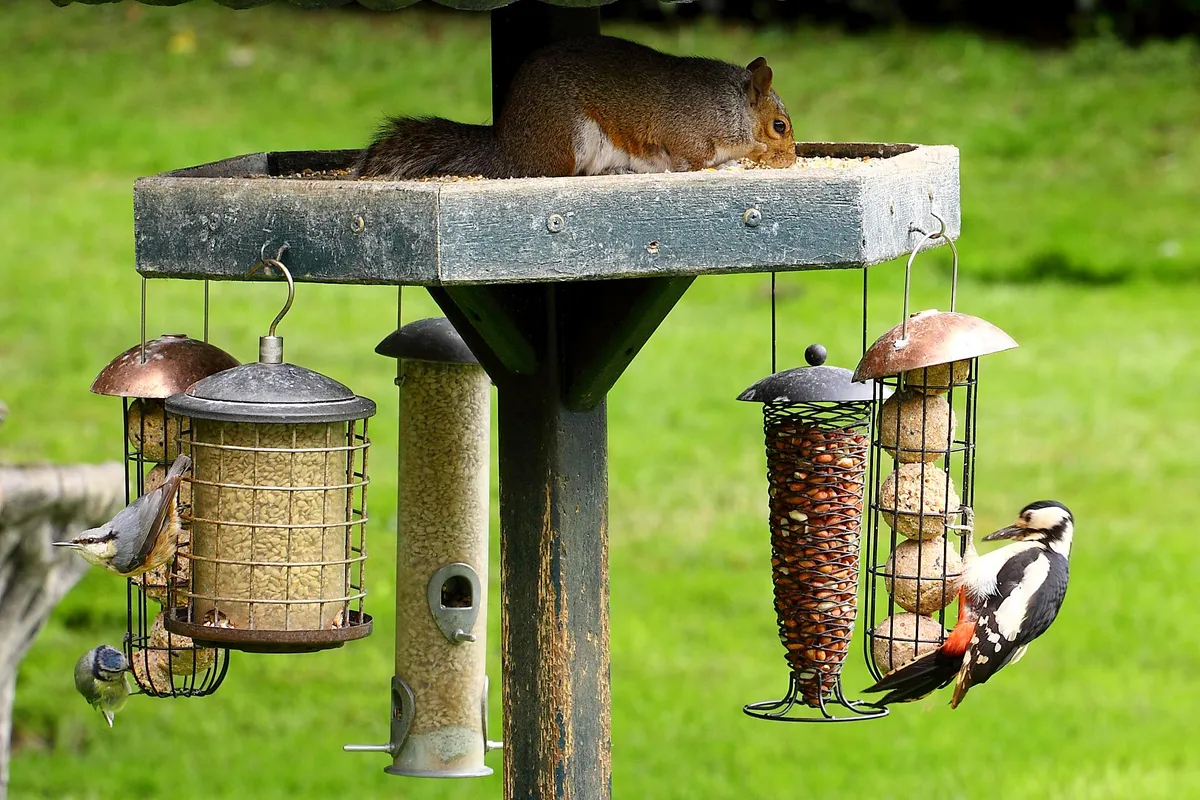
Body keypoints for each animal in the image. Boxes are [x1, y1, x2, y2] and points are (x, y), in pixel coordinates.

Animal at [355, 35, 795, 180]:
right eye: (780, 126)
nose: (791, 159)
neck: (728, 107)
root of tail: (509, 151)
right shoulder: (687, 135)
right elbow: (696, 161)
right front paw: (743, 158)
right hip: (570, 138)